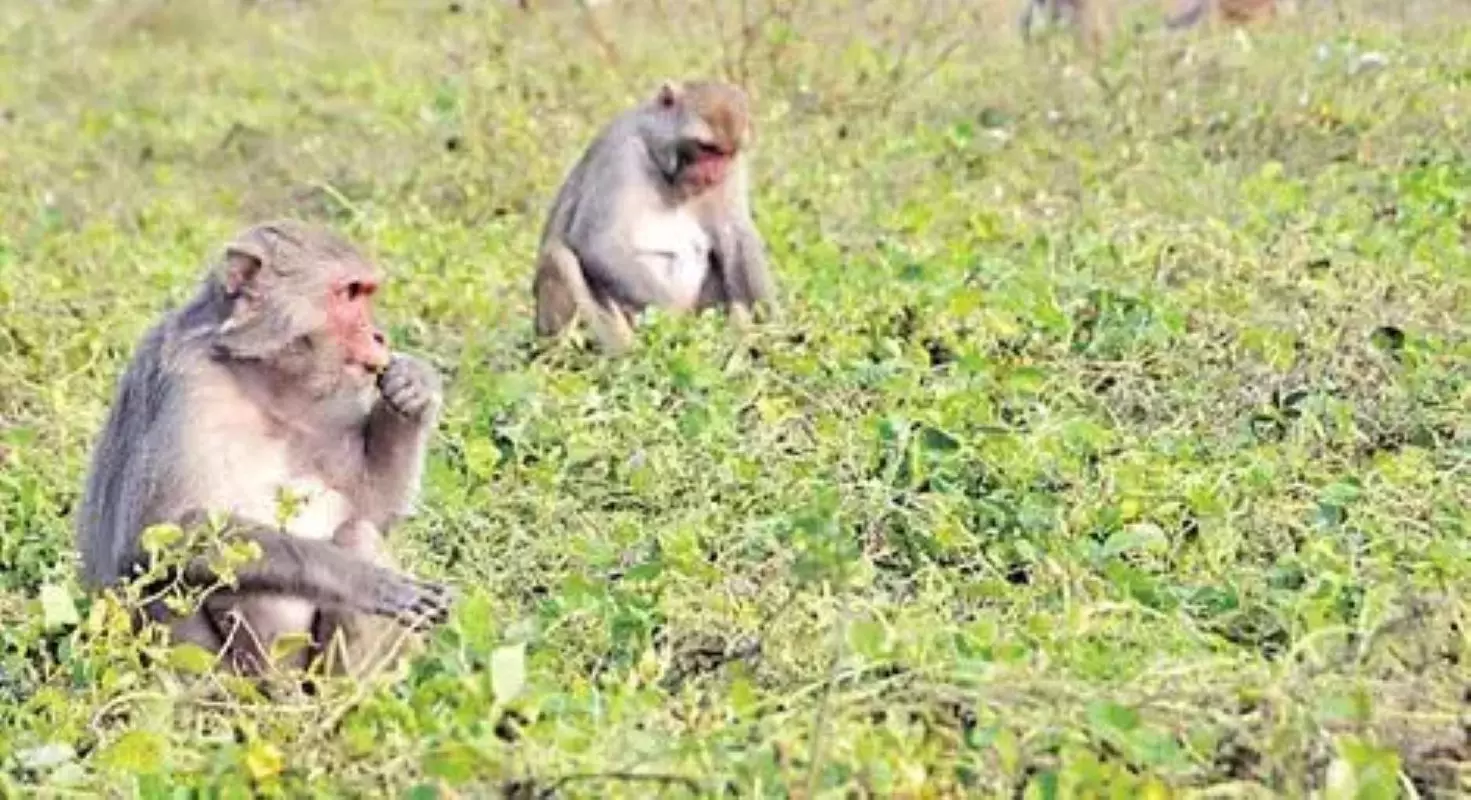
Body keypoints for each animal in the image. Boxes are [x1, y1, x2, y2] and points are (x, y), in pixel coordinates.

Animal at [76, 219, 454, 680]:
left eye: (366, 293)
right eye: (349, 294)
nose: (380, 336)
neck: (261, 382)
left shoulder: (334, 400)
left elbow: (372, 512)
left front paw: (413, 387)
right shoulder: (186, 381)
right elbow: (158, 533)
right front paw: (357, 579)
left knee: (359, 534)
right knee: (165, 581)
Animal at [531, 79, 778, 354]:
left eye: (725, 153)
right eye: (706, 148)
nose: (713, 174)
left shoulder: (732, 170)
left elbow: (735, 237)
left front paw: (775, 326)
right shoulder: (620, 153)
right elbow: (599, 243)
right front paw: (682, 327)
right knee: (559, 255)